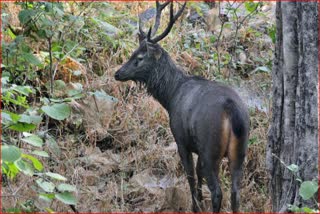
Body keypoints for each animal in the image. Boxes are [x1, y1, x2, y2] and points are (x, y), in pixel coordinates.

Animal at [115, 1, 250, 212]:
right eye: (132, 53)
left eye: (139, 57)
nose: (118, 73)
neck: (170, 97)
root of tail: (232, 110)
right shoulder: (199, 148)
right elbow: (198, 172)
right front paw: (199, 201)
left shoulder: (181, 139)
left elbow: (190, 175)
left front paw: (196, 206)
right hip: (240, 151)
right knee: (236, 193)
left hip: (211, 147)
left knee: (217, 192)